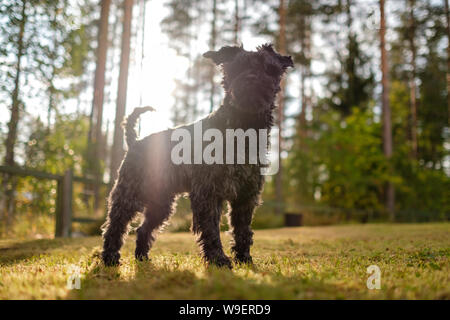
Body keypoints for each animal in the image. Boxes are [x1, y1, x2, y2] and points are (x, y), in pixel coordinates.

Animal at [100, 43, 294, 268]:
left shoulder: (246, 195)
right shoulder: (208, 192)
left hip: (161, 204)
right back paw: (110, 258)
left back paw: (142, 257)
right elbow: (211, 229)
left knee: (143, 229)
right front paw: (219, 259)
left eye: (268, 68)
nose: (252, 80)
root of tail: (135, 141)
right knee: (115, 225)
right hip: (129, 195)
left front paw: (244, 259)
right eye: (238, 67)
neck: (241, 130)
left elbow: (243, 231)